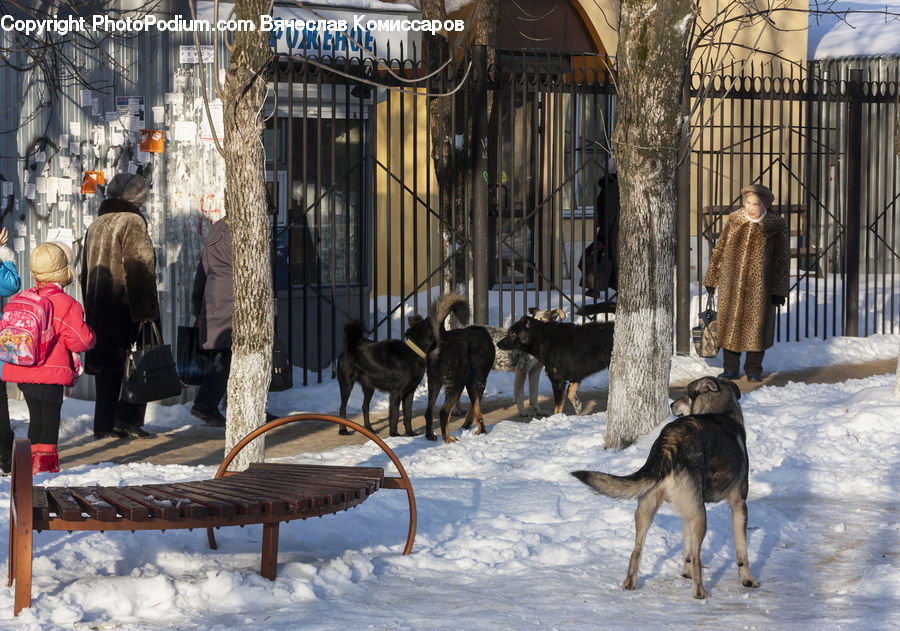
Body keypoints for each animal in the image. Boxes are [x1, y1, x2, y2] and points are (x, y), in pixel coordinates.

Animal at [404, 292, 496, 444]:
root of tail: (443, 337)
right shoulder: (478, 383)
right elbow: (475, 408)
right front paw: (480, 430)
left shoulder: (471, 384)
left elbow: (475, 408)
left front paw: (475, 428)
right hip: (456, 385)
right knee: (444, 412)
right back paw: (447, 438)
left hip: (434, 383)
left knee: (429, 412)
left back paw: (431, 436)